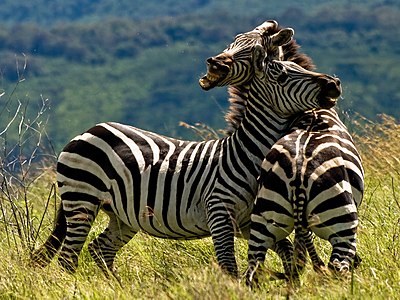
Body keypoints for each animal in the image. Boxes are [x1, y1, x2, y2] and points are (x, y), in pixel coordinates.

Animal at [31, 21, 340, 278]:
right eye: (283, 75)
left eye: (252, 50)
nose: (333, 83)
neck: (248, 155)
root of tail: (89, 130)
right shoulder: (219, 212)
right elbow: (229, 266)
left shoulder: (247, 222)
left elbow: (287, 254)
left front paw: (285, 280)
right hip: (82, 199)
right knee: (69, 257)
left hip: (121, 214)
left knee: (99, 249)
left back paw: (114, 286)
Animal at [244, 107, 366, 286]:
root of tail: (298, 174)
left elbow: (300, 249)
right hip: (342, 220)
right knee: (338, 266)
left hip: (263, 217)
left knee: (253, 270)